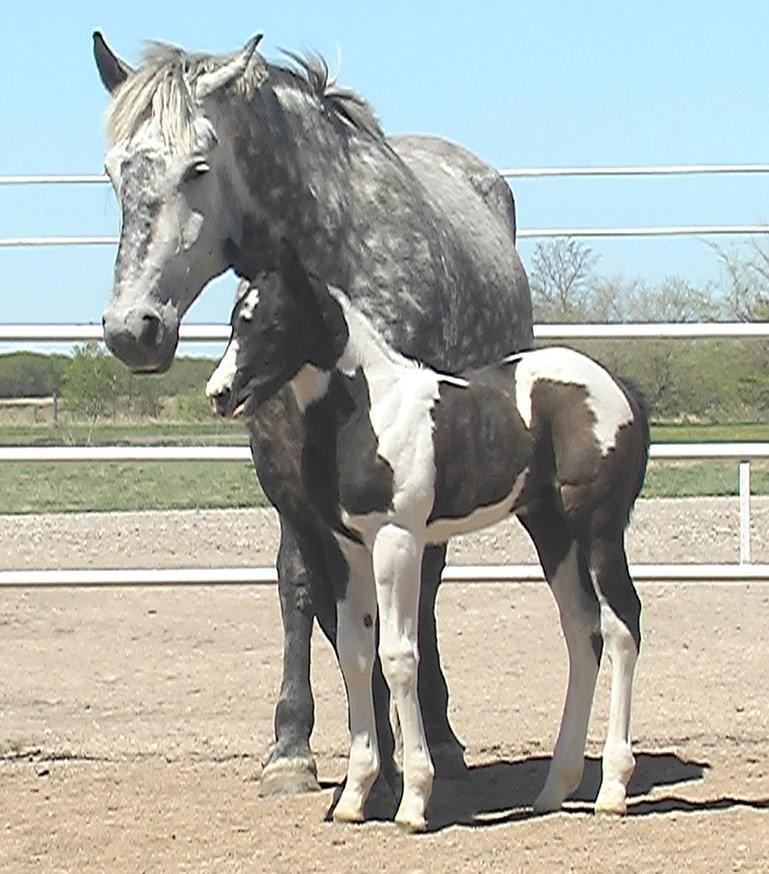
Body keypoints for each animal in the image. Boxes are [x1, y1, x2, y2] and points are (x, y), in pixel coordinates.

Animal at [93, 32, 532, 796]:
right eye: (115, 173)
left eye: (197, 168)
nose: (131, 330)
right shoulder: (285, 474)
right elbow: (306, 591)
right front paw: (296, 747)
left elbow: (391, 607)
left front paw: (396, 748)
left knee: (426, 591)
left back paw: (441, 739)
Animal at [206, 249, 648, 828]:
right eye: (234, 321)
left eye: (273, 324)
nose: (219, 393)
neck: (369, 411)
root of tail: (621, 389)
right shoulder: (347, 549)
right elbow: (355, 653)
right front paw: (354, 797)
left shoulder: (398, 541)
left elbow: (398, 657)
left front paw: (414, 799)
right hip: (550, 530)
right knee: (581, 632)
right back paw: (555, 787)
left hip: (597, 527)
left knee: (622, 626)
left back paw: (612, 789)